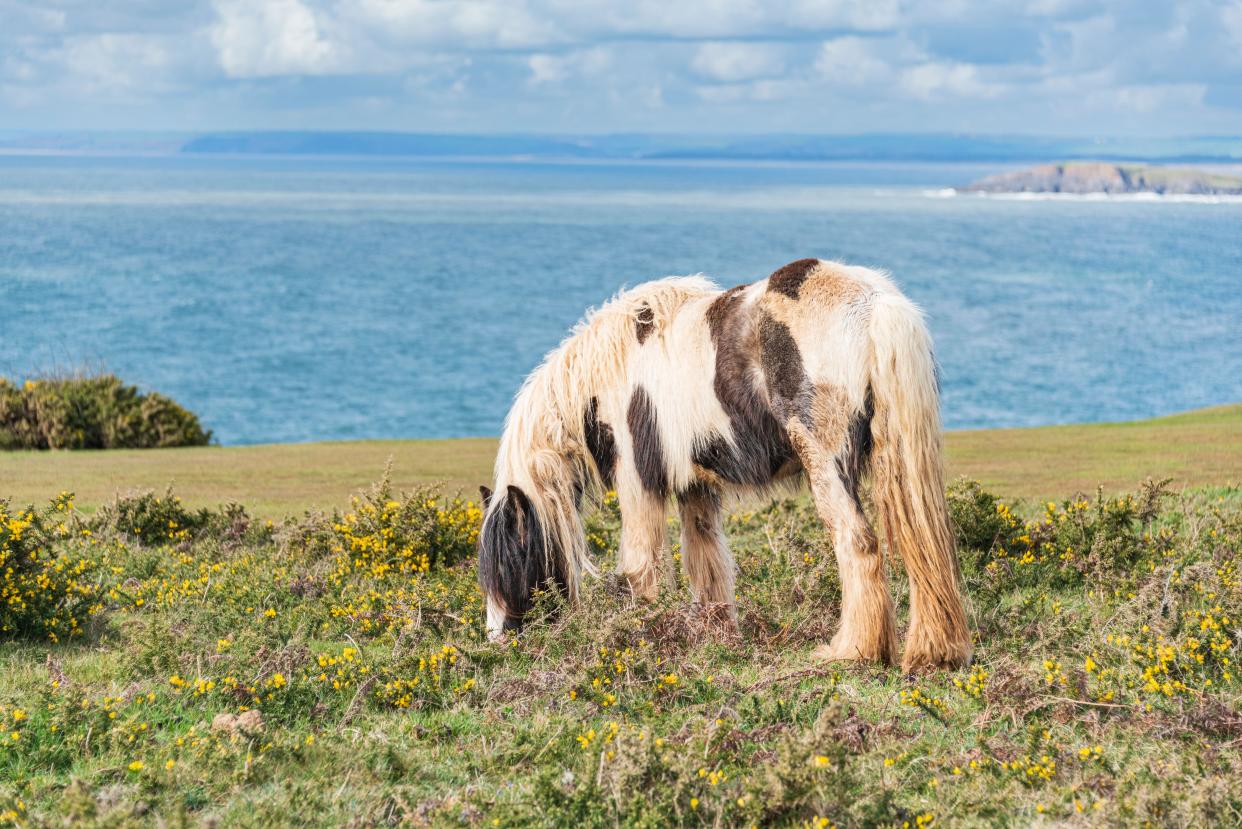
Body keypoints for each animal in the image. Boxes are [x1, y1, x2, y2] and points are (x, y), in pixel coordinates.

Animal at [474, 259, 968, 676]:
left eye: (510, 557)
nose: (498, 640)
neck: (614, 369)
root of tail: (874, 304)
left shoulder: (638, 481)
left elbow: (639, 571)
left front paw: (633, 640)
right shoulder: (694, 486)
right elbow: (706, 560)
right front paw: (716, 637)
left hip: (826, 463)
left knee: (857, 543)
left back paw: (851, 651)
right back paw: (934, 652)